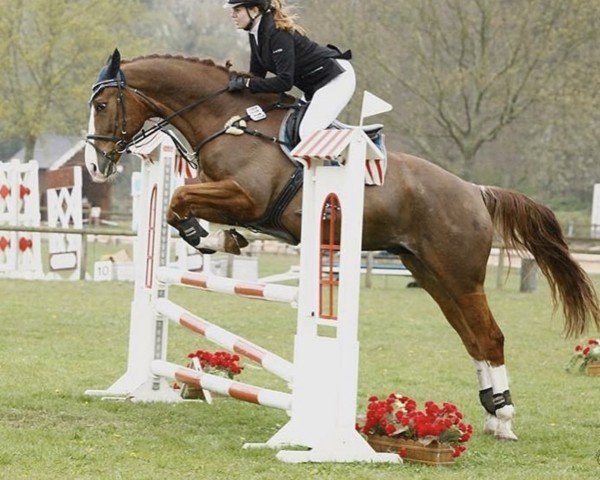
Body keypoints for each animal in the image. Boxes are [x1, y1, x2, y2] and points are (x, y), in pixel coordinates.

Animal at [85, 50, 600, 440]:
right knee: (471, 337)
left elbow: (178, 201)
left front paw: (210, 237)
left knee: (490, 337)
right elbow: (182, 203)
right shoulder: (226, 193)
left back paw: (505, 418)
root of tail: (475, 190)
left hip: (460, 276)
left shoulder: (246, 196)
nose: (95, 166)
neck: (227, 120)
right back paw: (492, 414)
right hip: (432, 275)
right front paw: (223, 237)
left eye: (104, 105)